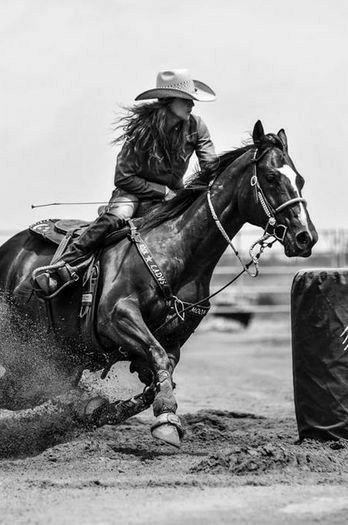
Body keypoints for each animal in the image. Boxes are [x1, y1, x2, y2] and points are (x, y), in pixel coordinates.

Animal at [0, 119, 318, 446]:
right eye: (271, 176)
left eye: (300, 179)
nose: (305, 237)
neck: (177, 251)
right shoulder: (117, 317)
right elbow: (158, 358)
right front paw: (166, 419)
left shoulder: (174, 338)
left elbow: (158, 376)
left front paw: (106, 410)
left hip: (60, 360)